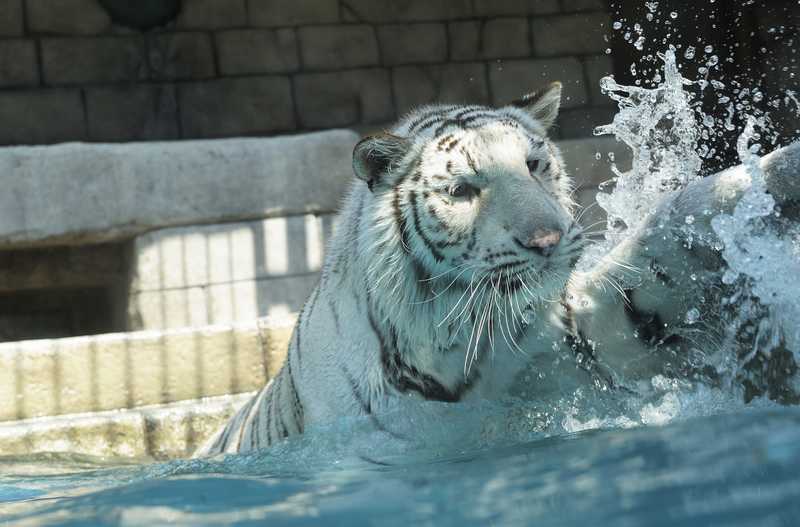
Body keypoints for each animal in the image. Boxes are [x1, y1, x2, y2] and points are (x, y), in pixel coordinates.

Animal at [195, 83, 800, 458]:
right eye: (462, 191)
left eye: (534, 165)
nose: (549, 240)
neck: (464, 343)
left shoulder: (591, 346)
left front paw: (774, 180)